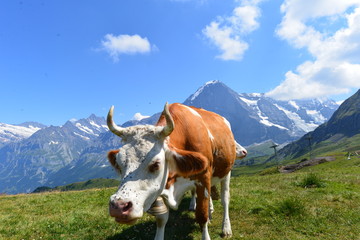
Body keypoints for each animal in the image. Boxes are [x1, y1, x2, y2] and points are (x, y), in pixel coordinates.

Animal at [107, 102, 248, 239]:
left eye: (156, 164)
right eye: (119, 164)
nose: (118, 207)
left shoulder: (203, 178)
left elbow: (202, 215)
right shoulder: (163, 185)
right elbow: (161, 218)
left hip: (226, 172)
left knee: (225, 199)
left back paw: (226, 228)